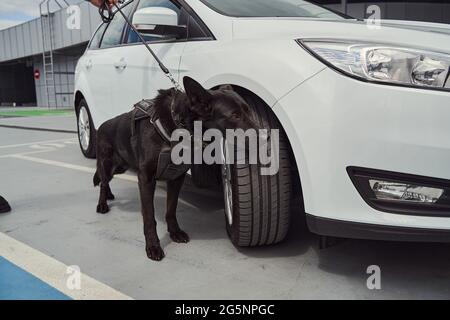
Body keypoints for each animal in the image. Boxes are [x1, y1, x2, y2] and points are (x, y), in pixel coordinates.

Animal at [93, 76, 258, 262]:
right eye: (235, 115)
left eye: (249, 112)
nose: (265, 136)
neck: (179, 126)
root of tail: (101, 126)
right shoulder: (146, 179)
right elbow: (149, 217)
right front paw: (153, 246)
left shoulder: (176, 178)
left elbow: (171, 209)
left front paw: (174, 232)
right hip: (108, 166)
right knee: (102, 182)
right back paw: (102, 204)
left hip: (120, 167)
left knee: (105, 182)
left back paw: (109, 196)